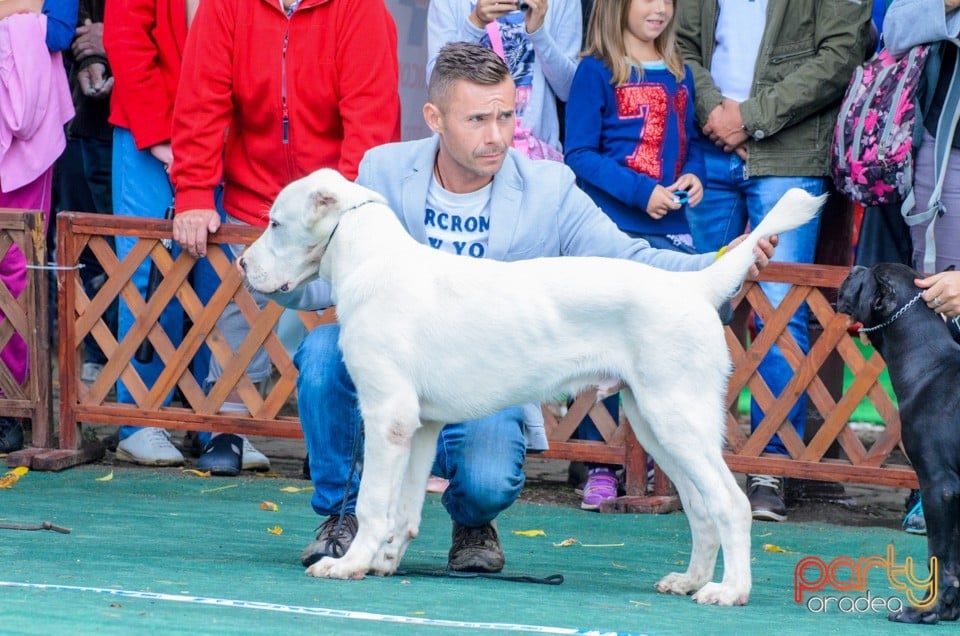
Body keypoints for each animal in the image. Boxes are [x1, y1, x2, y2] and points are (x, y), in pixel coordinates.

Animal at [242, 168, 824, 608]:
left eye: (275, 222)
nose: (244, 264)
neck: (370, 259)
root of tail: (693, 286)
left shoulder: (387, 418)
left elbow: (371, 504)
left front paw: (351, 564)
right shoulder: (419, 426)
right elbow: (403, 510)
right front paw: (384, 563)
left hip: (677, 417)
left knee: (730, 503)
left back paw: (729, 591)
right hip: (656, 424)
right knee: (700, 507)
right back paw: (689, 581)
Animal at [836, 264, 956, 628]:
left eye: (868, 276)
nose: (854, 267)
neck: (930, 363)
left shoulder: (939, 486)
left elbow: (940, 555)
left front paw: (926, 609)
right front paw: (949, 609)